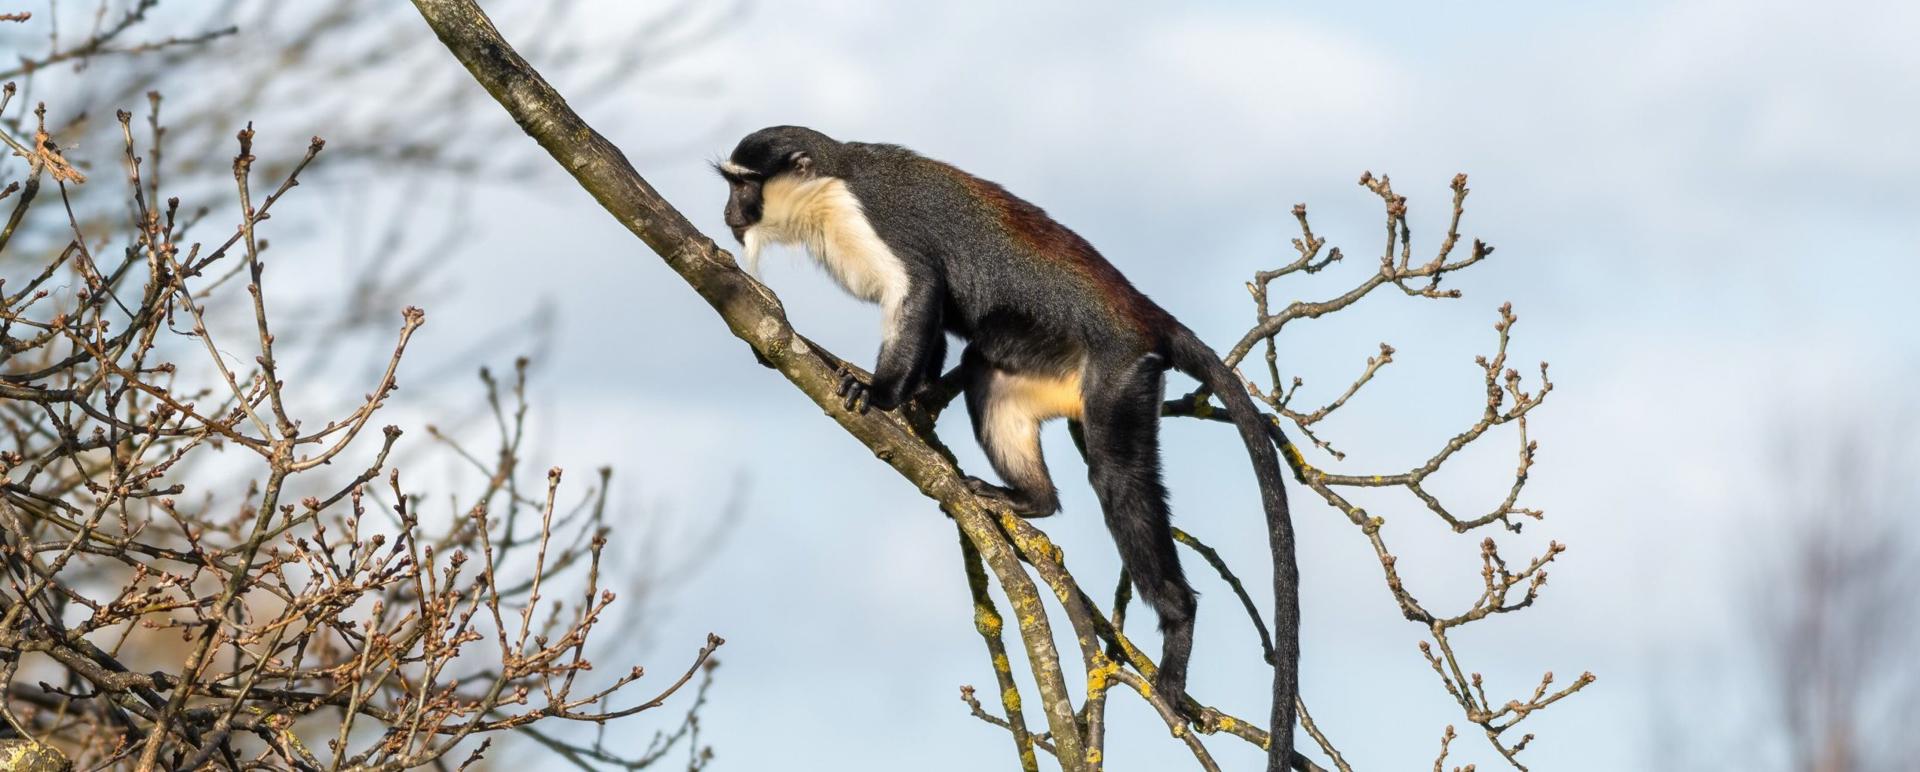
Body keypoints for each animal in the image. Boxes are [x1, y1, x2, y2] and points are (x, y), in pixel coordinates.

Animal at [718, 126, 1298, 771]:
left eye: (744, 185)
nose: (729, 215)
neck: (828, 183)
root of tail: (1148, 316)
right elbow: (936, 330)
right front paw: (916, 399)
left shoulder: (868, 219)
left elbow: (920, 293)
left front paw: (882, 392)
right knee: (985, 370)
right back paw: (1030, 499)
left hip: (1120, 375)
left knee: (1117, 479)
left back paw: (1177, 622)